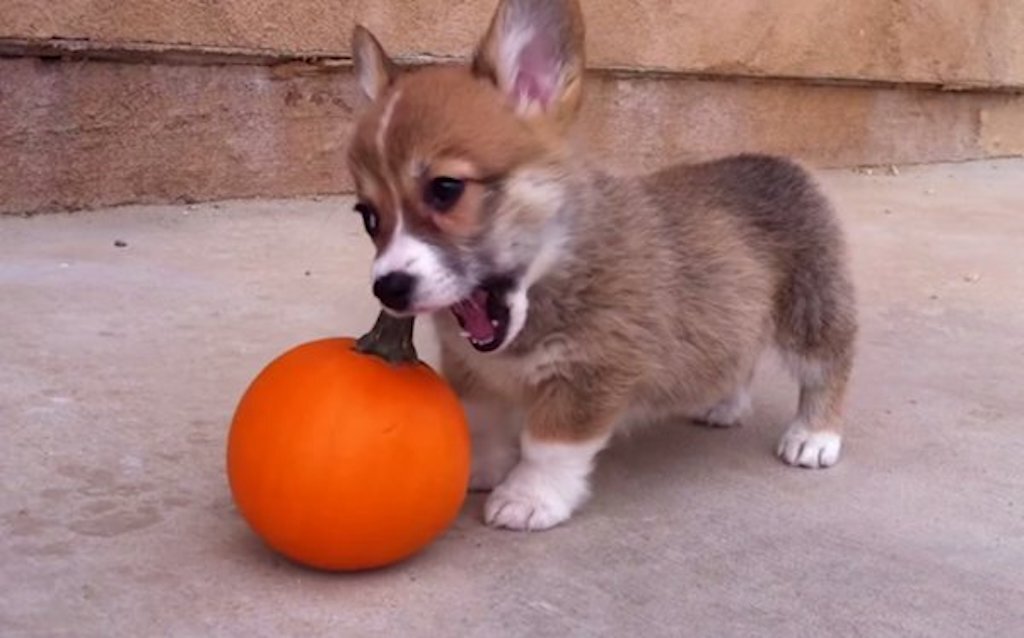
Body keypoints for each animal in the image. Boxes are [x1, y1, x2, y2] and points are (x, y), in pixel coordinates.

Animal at [344, 0, 856, 532]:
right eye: (368, 216)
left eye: (445, 189)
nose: (389, 289)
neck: (551, 274)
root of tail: (783, 161)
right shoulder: (472, 370)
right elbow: (483, 420)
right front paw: (480, 465)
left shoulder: (591, 374)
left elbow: (547, 446)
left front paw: (528, 498)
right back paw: (723, 403)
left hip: (811, 312)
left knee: (828, 367)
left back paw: (813, 436)